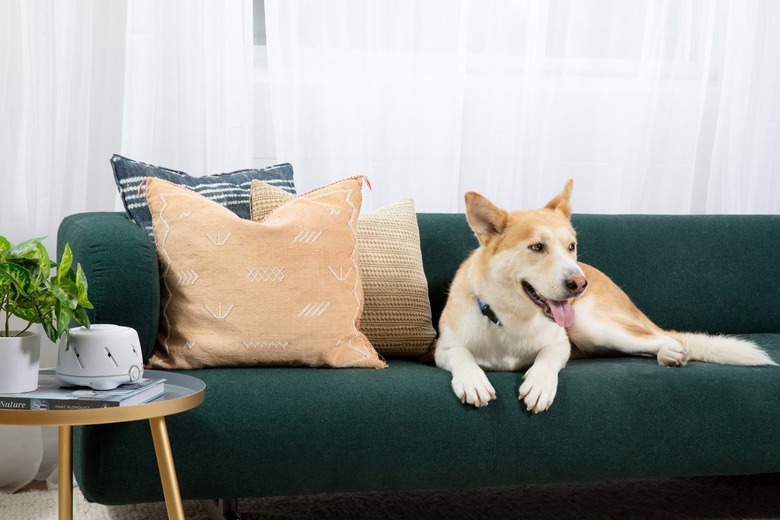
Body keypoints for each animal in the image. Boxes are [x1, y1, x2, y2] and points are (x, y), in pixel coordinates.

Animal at [432, 180, 772, 414]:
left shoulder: (560, 343)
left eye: (571, 246)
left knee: (662, 338)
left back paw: (671, 352)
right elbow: (461, 354)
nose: (579, 284)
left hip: (590, 326)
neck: (511, 318)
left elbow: (547, 357)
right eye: (537, 247)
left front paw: (539, 384)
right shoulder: (442, 349)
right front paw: (473, 380)